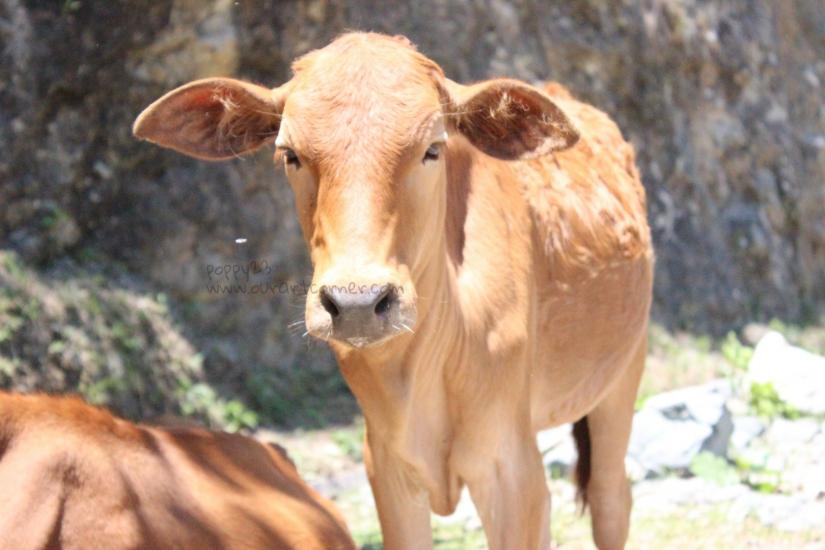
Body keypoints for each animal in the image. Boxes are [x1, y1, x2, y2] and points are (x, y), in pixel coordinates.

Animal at [134, 32, 654, 550]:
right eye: (290, 154)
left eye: (432, 149)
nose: (357, 304)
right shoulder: (387, 470)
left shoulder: (512, 474)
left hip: (623, 376)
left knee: (611, 499)